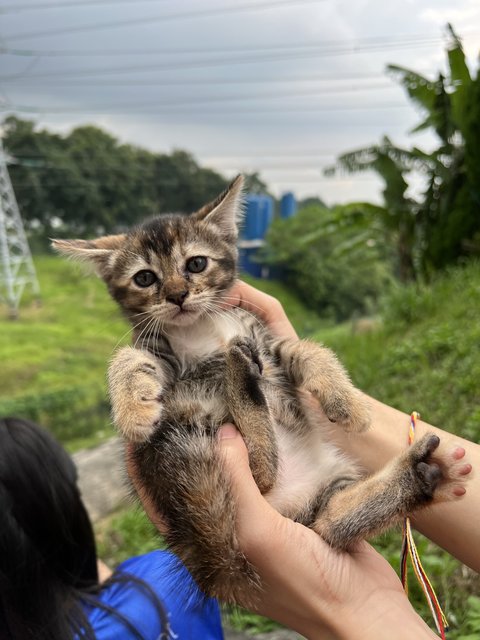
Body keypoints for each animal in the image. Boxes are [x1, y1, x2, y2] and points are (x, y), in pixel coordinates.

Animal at [52, 176, 468, 604]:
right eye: (145, 278)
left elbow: (309, 350)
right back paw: (241, 379)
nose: (177, 295)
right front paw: (134, 412)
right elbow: (126, 357)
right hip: (197, 424)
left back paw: (420, 476)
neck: (203, 331)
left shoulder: (267, 340)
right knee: (266, 476)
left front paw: (349, 404)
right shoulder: (165, 360)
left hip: (320, 485)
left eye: (196, 263)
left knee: (329, 521)